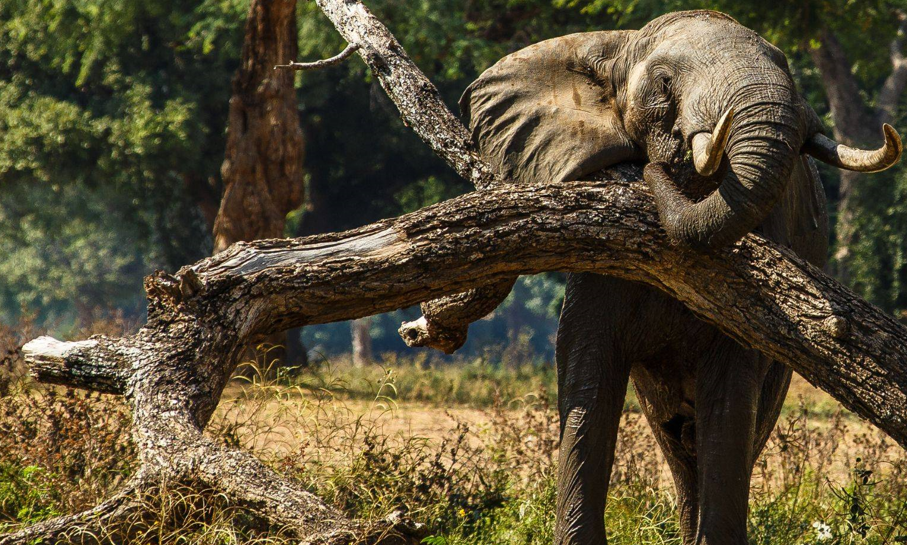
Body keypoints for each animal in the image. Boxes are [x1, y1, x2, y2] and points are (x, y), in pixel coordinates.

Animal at [458, 10, 902, 545]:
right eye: (666, 83)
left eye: (786, 66)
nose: (655, 169)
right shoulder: (601, 264)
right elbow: (587, 369)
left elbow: (732, 393)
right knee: (672, 434)